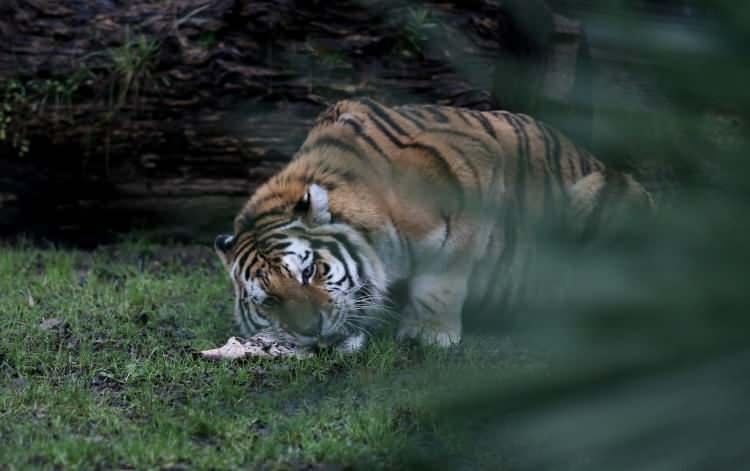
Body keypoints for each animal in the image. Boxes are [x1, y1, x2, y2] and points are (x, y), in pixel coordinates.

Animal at [214, 97, 656, 352]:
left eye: (309, 272)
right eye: (269, 301)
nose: (312, 329)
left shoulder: (470, 173)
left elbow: (440, 279)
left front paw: (426, 333)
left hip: (607, 191)